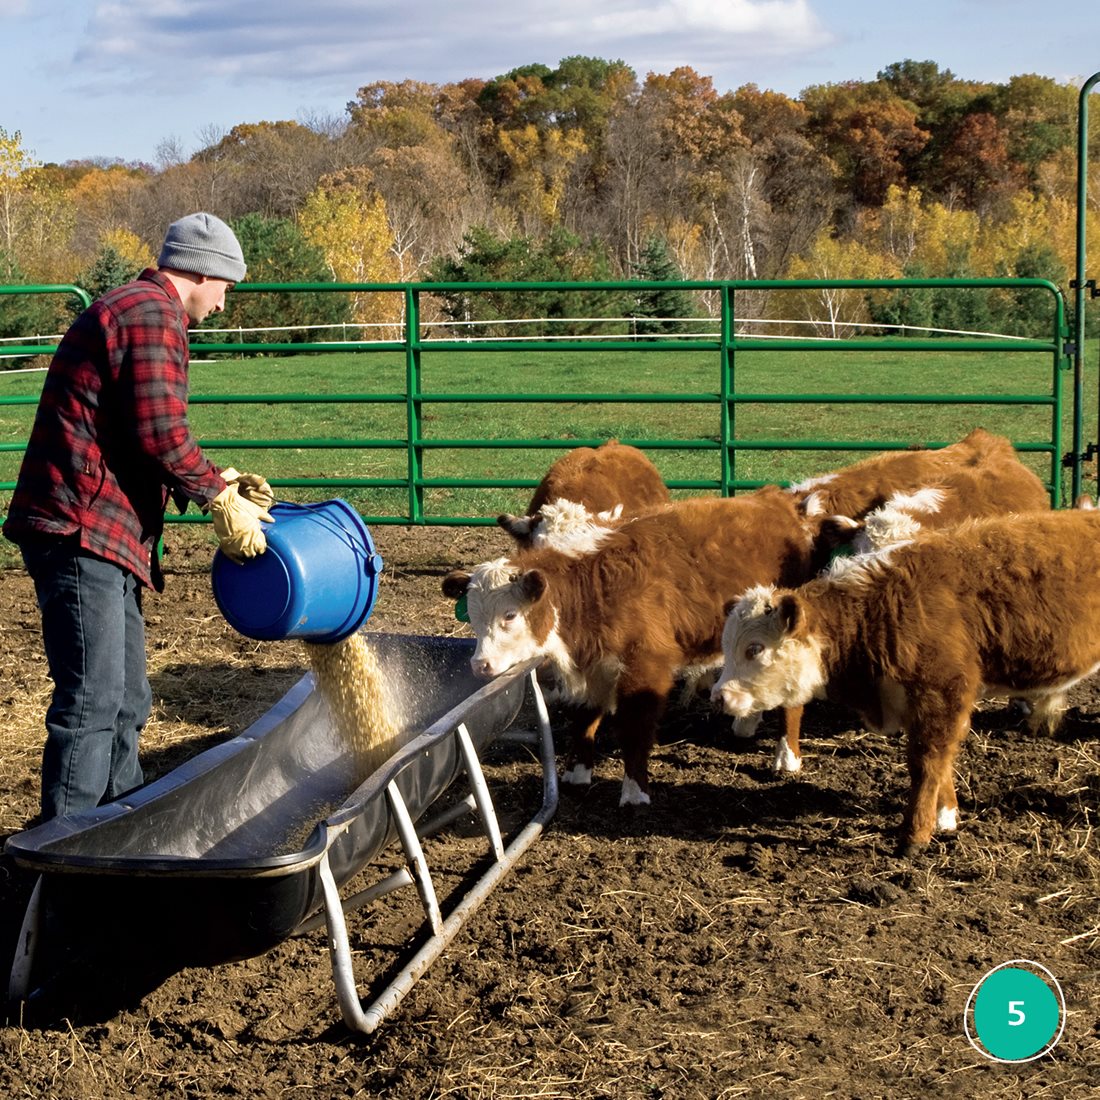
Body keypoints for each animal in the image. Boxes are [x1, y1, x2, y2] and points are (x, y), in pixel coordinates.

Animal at [442, 492, 822, 809]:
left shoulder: (646, 668)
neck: (594, 585)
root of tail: (778, 501)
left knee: (792, 699)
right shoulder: (592, 666)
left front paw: (635, 792)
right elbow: (584, 718)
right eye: (473, 617)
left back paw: (786, 756)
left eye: (509, 615)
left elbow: (635, 729)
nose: (481, 665)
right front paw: (577, 773)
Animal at [708, 510, 1100, 853]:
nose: (718, 697)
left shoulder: (942, 692)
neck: (884, 606)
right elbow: (939, 760)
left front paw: (914, 834)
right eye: (726, 647)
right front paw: (946, 816)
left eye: (755, 648)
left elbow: (927, 761)